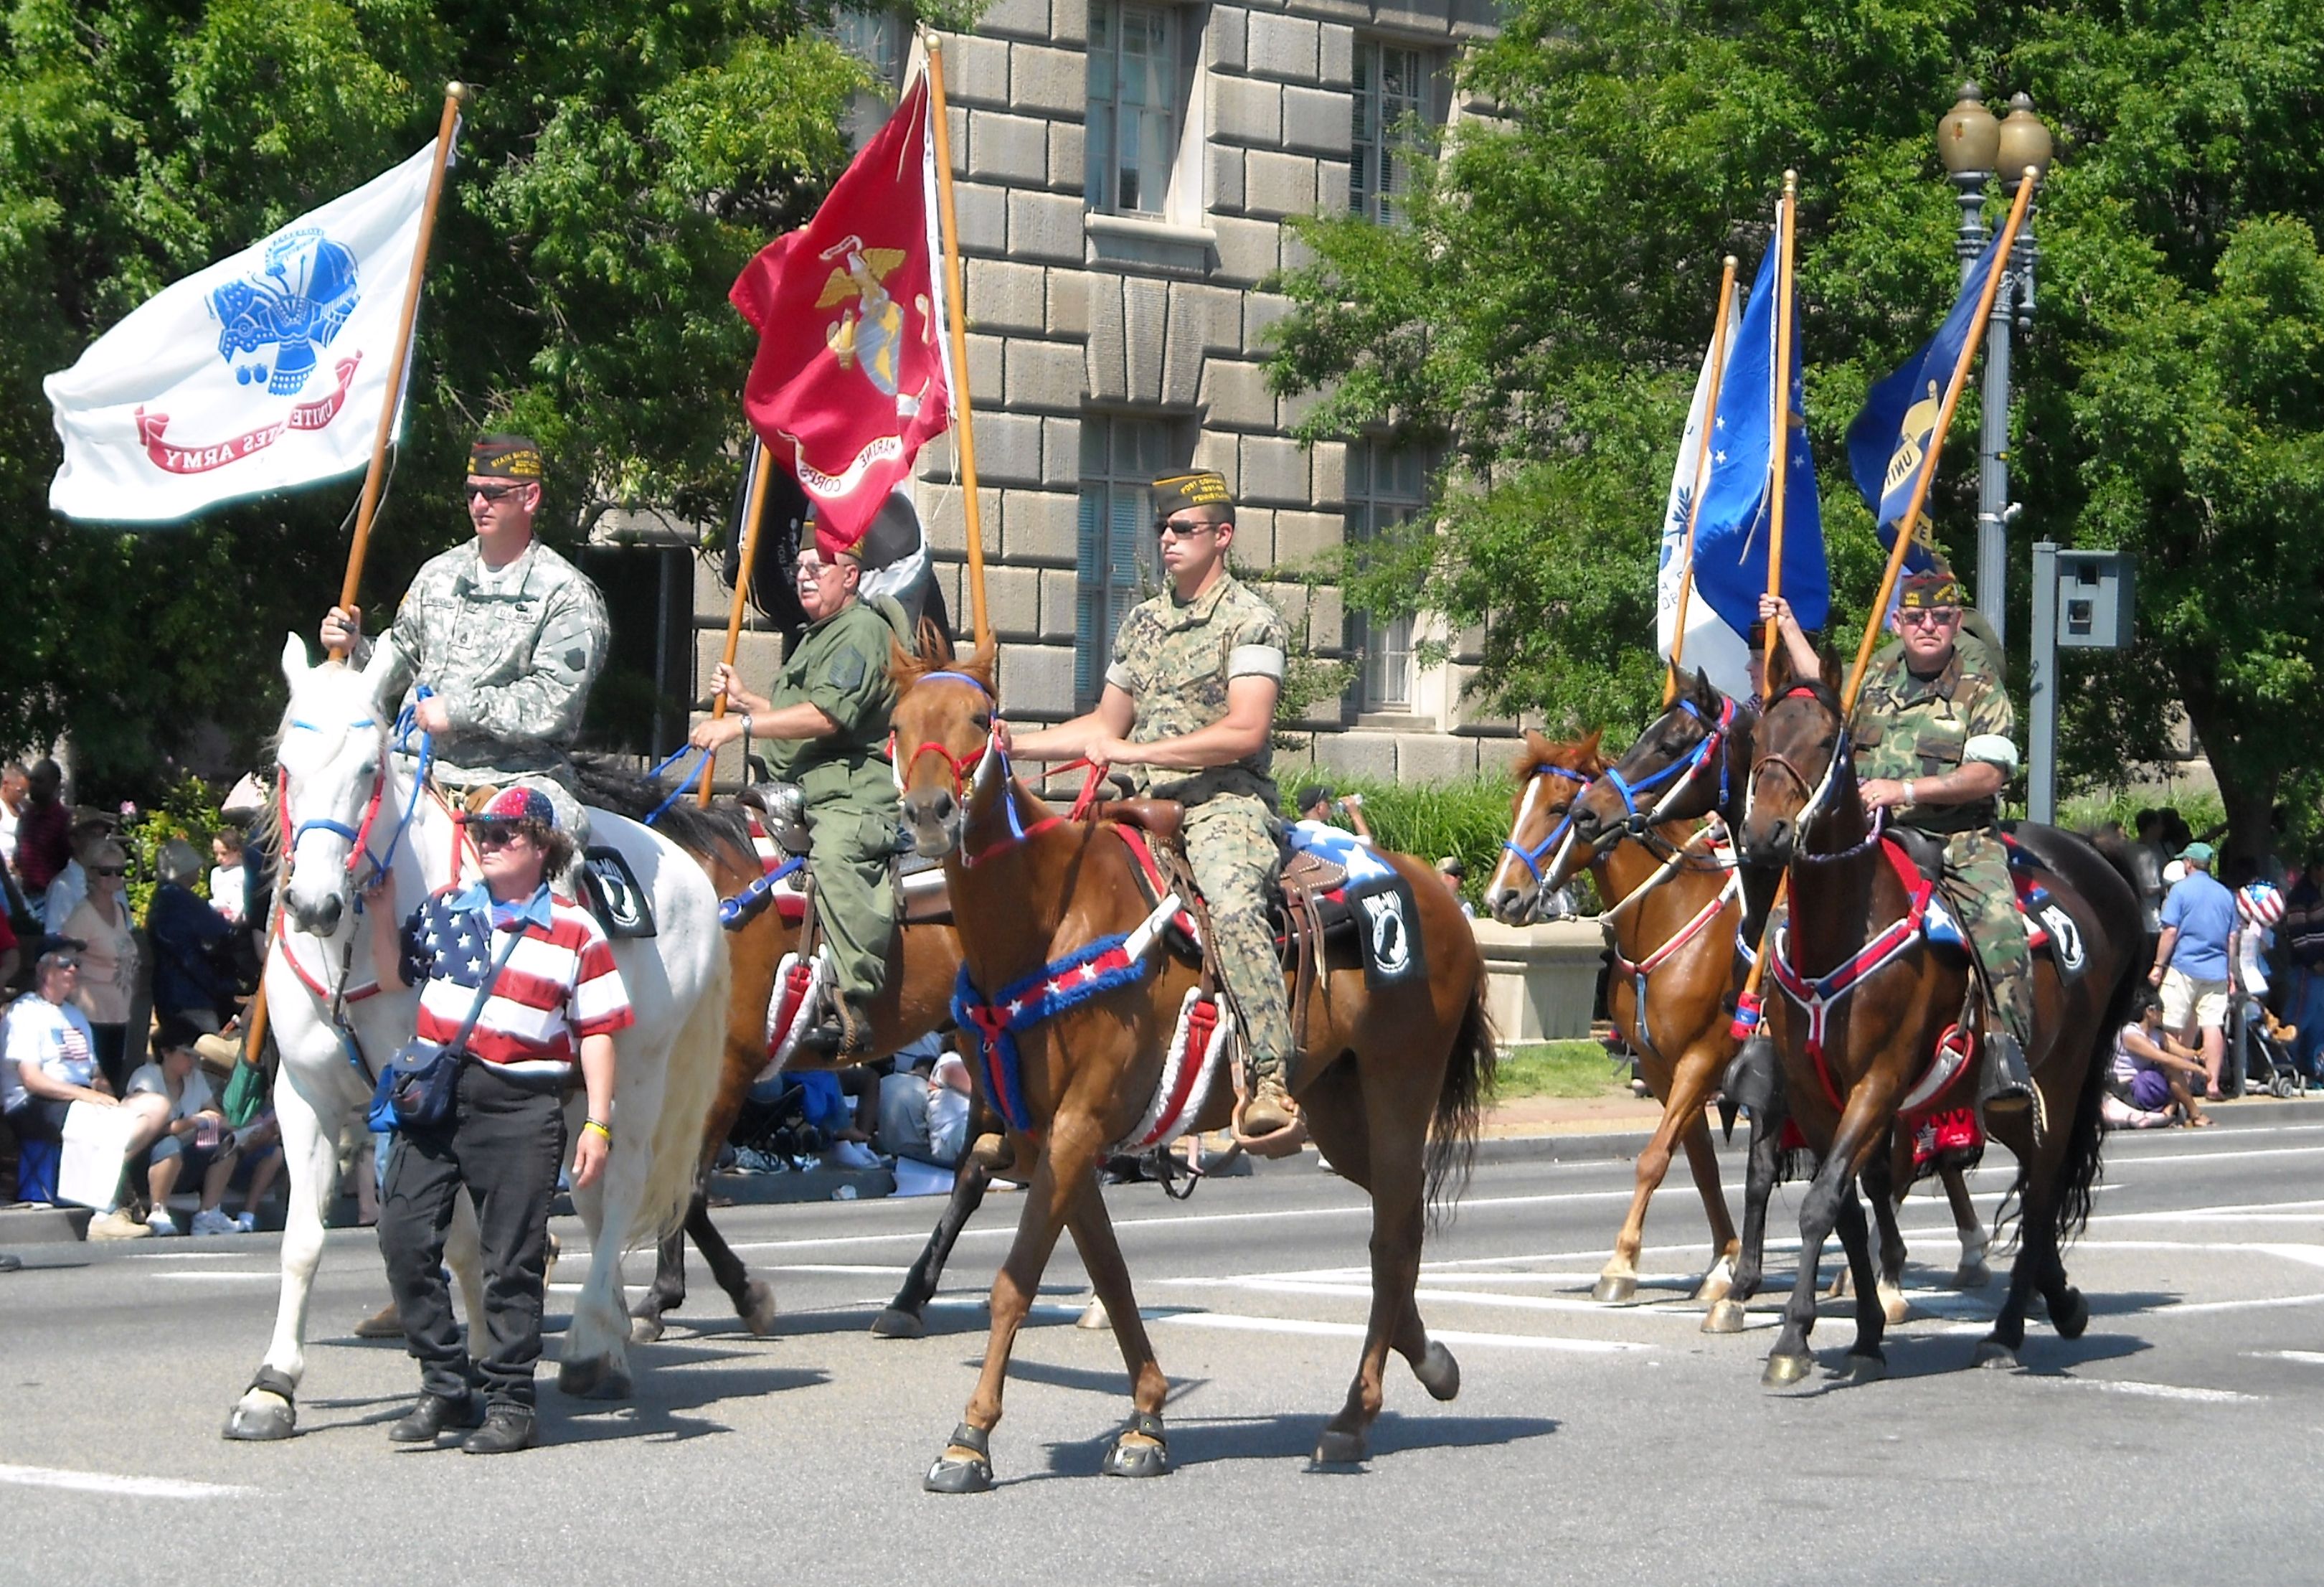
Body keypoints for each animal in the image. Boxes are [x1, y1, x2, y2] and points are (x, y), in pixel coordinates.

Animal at [219, 636, 724, 1440]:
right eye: (286, 768)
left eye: (368, 771)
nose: (313, 904)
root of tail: (686, 867)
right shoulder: (306, 1097)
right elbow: (304, 1242)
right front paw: (271, 1388)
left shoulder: (439, 1098)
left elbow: (459, 1236)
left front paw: (481, 1364)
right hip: (577, 1094)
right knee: (590, 1199)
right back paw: (609, 1338)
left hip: (639, 1078)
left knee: (619, 1191)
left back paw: (589, 1345)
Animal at [878, 631, 1496, 1487]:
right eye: (897, 722)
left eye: (980, 717)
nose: (929, 814)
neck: (1045, 919)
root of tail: (1438, 895)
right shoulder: (1050, 1137)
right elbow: (1109, 1273)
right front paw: (1145, 1419)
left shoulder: (1078, 1124)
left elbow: (1016, 1281)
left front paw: (970, 1438)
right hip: (1340, 1112)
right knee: (1391, 1222)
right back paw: (1429, 1359)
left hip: (1400, 1087)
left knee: (1392, 1238)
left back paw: (1352, 1417)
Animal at [1487, 725, 1747, 1319]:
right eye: (1516, 806)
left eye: (1560, 808)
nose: (1501, 897)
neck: (1670, 916)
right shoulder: (1660, 1068)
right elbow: (1699, 1164)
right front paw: (1724, 1263)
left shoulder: (1702, 1059)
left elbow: (1652, 1159)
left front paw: (1621, 1265)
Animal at [1738, 669, 2128, 1394]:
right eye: (1758, 738)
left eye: (1827, 743)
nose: (1766, 834)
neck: (1839, 930)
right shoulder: (1811, 1092)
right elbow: (1847, 1211)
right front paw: (1865, 1336)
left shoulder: (1880, 1082)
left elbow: (1822, 1203)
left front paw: (1793, 1337)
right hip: (2002, 1103)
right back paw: (2061, 1301)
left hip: (2058, 1087)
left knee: (2041, 1195)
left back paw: (2006, 1333)